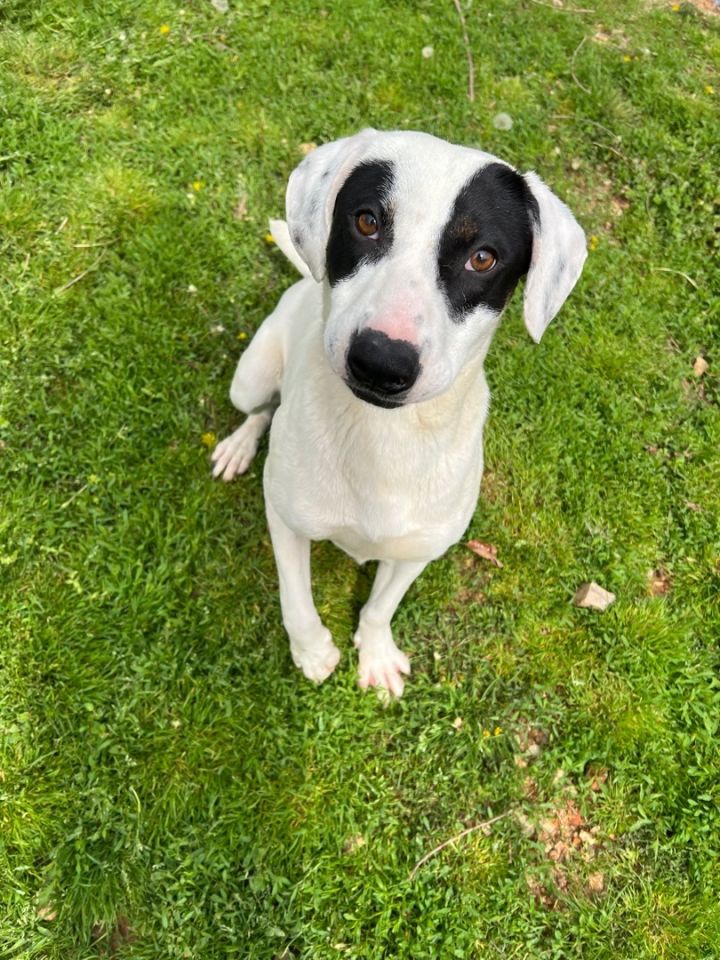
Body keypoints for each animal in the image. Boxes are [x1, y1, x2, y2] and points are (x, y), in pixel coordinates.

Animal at [212, 129, 584, 696]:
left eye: (483, 257)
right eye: (367, 221)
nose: (380, 361)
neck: (383, 439)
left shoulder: (417, 550)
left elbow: (380, 607)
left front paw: (376, 654)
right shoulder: (285, 518)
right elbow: (296, 601)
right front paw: (313, 652)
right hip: (250, 377)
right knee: (258, 410)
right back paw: (239, 446)